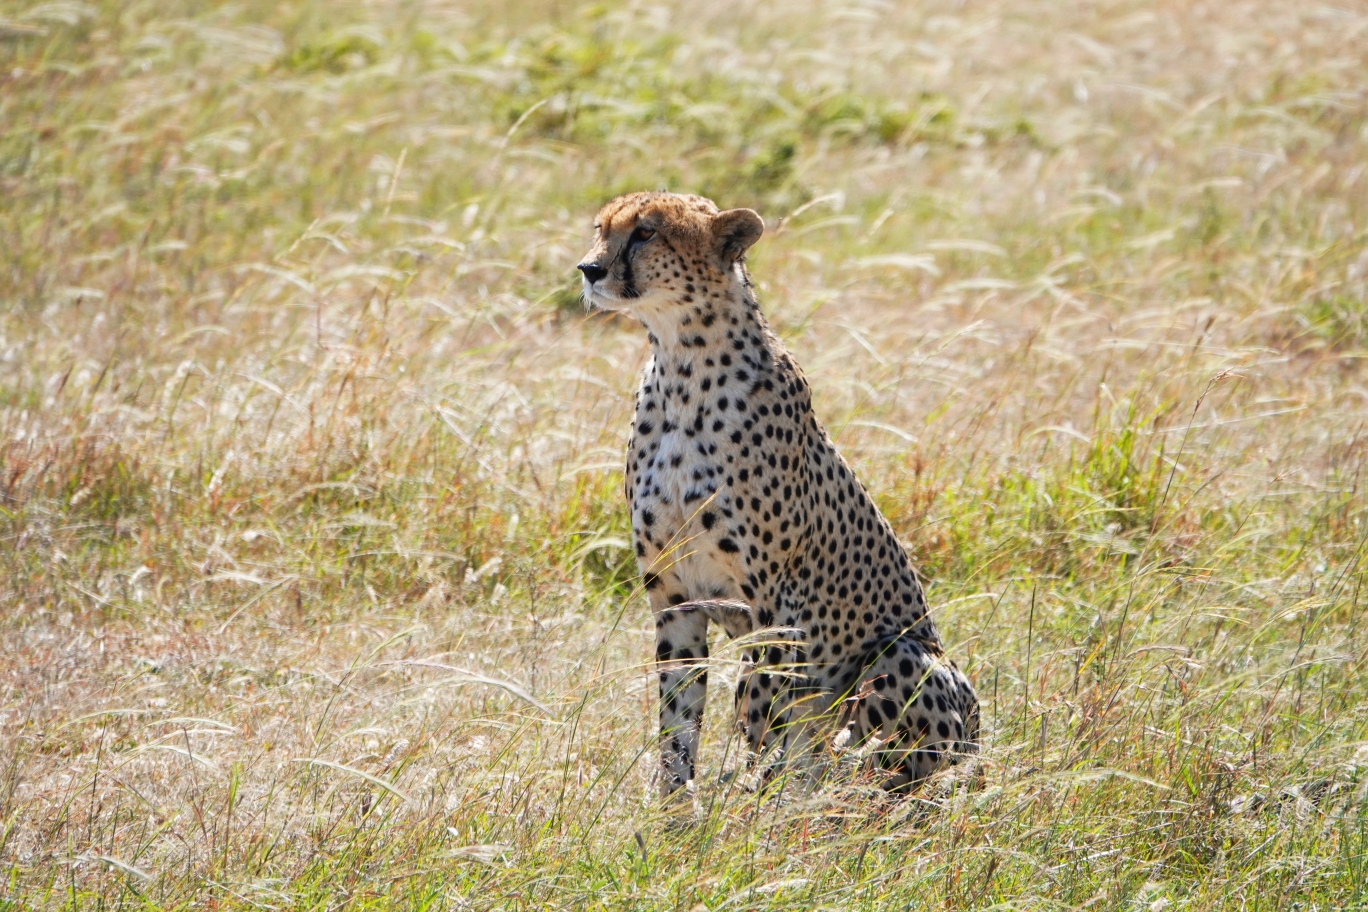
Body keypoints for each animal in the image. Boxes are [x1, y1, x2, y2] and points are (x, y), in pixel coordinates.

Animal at [577, 191, 984, 798]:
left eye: (646, 233)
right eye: (602, 229)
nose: (589, 269)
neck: (681, 366)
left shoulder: (773, 604)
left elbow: (765, 718)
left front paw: (754, 811)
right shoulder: (674, 598)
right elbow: (678, 722)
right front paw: (673, 813)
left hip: (905, 659)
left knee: (887, 767)